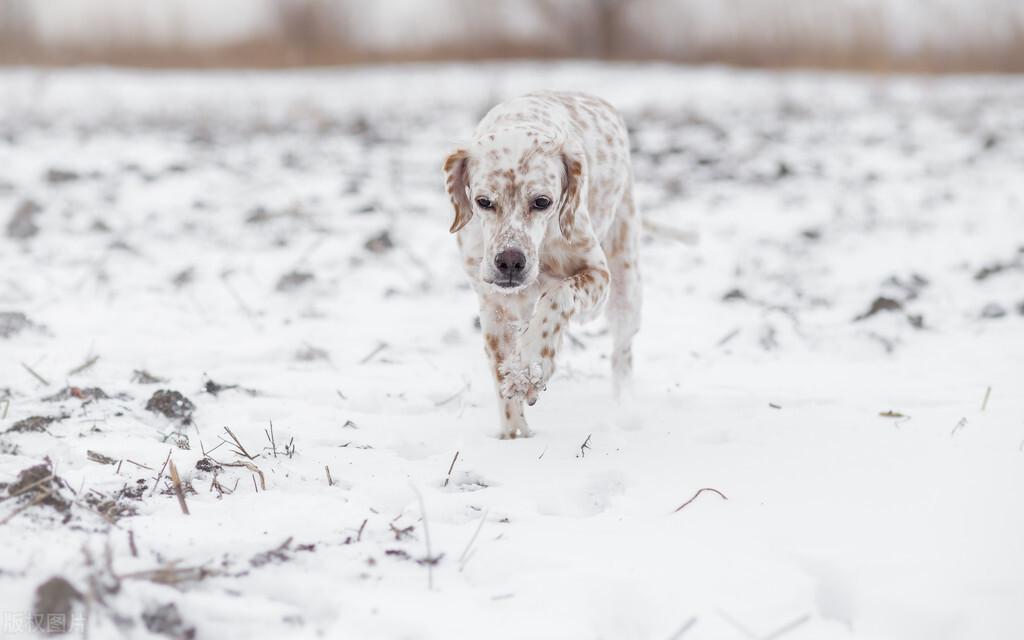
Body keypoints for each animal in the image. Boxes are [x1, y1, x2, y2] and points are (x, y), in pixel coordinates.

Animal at [442, 91, 638, 438]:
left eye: (542, 202)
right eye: (483, 202)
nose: (509, 261)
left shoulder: (598, 274)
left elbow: (557, 297)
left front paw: (531, 366)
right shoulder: (494, 305)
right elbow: (502, 377)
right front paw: (515, 435)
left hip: (625, 284)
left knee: (621, 354)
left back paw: (625, 408)